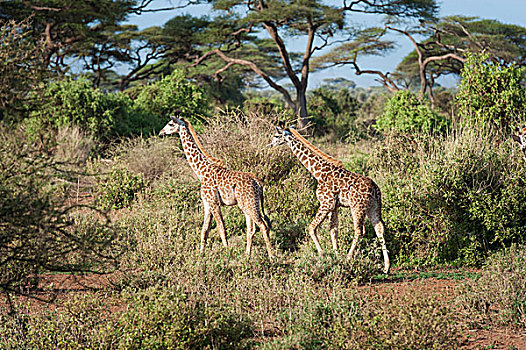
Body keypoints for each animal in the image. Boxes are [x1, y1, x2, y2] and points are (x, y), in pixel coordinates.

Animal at [159, 115, 274, 258]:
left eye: (170, 124)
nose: (161, 132)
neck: (201, 171)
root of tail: (257, 182)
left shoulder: (214, 202)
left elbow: (221, 228)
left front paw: (227, 252)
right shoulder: (207, 203)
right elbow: (204, 230)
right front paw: (201, 254)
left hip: (249, 203)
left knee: (263, 225)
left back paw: (272, 256)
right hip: (247, 204)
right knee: (252, 228)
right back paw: (247, 255)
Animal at [270, 126, 390, 274]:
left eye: (276, 136)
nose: (269, 144)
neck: (318, 172)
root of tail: (375, 188)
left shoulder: (325, 203)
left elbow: (311, 227)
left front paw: (323, 255)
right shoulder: (334, 206)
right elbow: (333, 230)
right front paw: (335, 254)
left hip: (357, 207)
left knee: (359, 231)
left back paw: (348, 258)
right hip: (374, 207)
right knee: (379, 229)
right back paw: (386, 266)